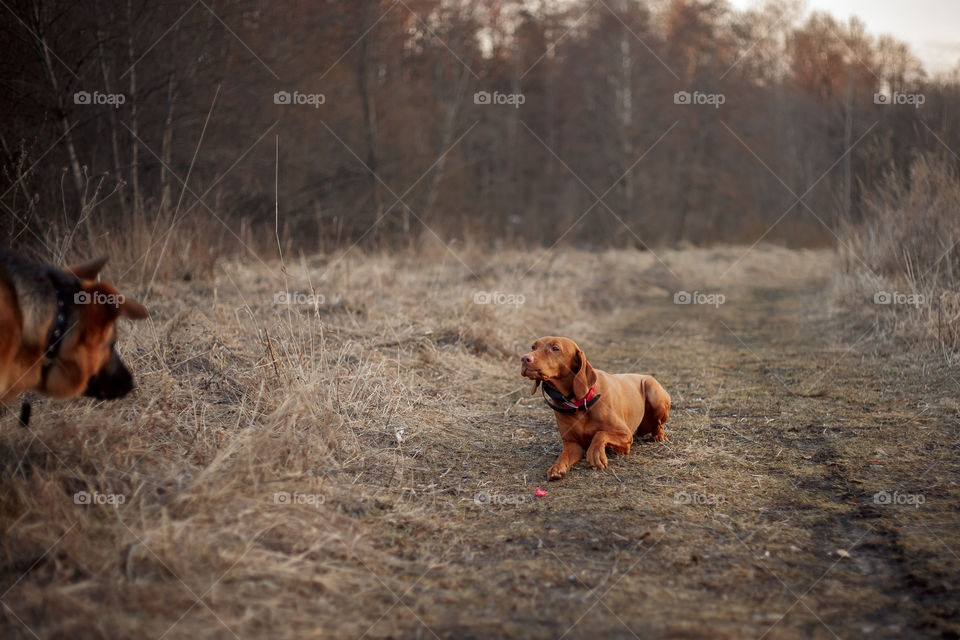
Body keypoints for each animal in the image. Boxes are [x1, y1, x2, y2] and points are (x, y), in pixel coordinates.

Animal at [520, 336, 672, 480]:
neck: (578, 403)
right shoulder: (572, 444)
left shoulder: (626, 435)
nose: (524, 358)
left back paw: (659, 436)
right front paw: (556, 468)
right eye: (533, 346)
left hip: (653, 391)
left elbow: (600, 434)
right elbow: (563, 456)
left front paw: (596, 454)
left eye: (555, 348)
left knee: (659, 425)